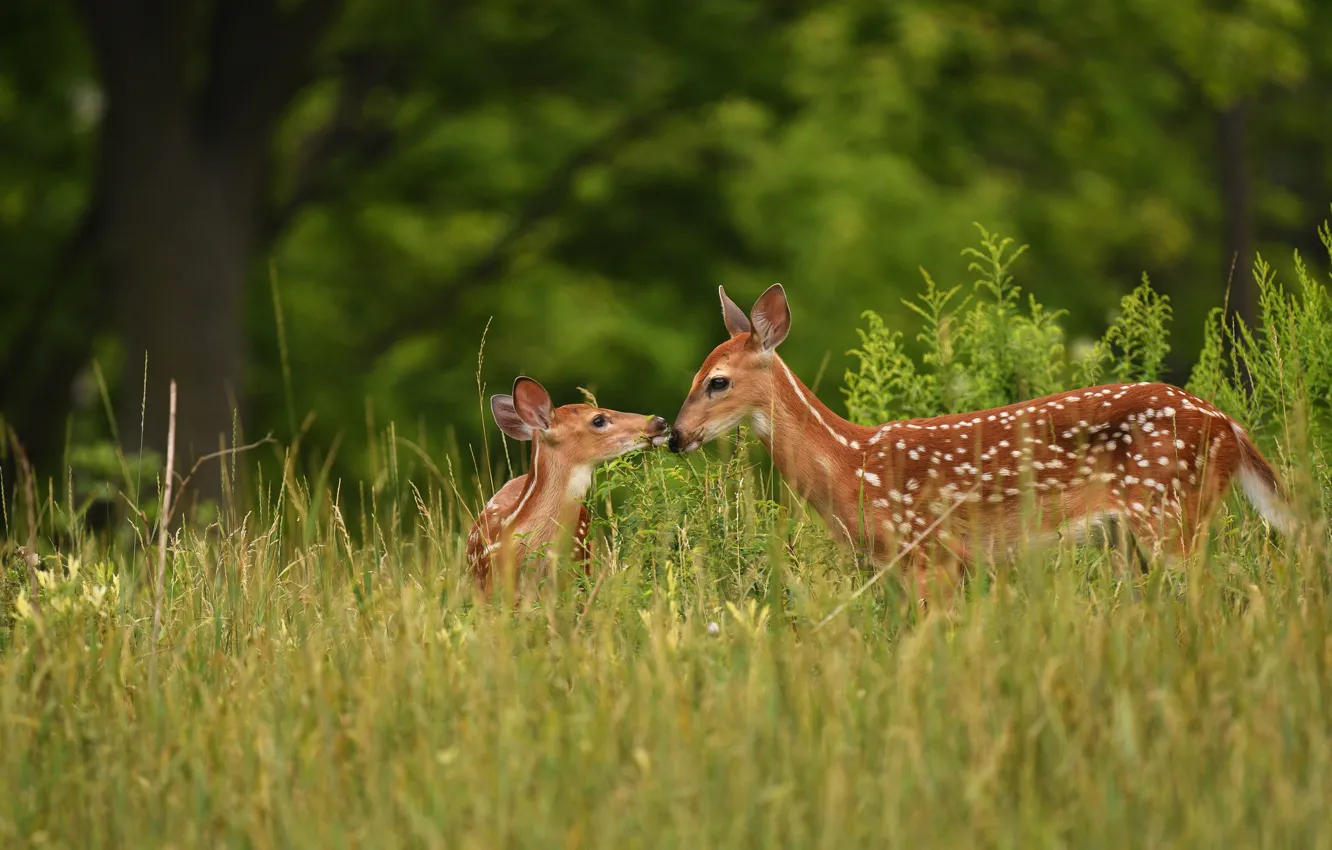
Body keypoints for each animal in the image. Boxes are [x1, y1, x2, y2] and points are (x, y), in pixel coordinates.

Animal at [667, 284, 1292, 600]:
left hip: (1169, 509)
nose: (675, 436)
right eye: (694, 374)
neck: (851, 463)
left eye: (717, 381)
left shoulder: (929, 553)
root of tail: (1228, 424)